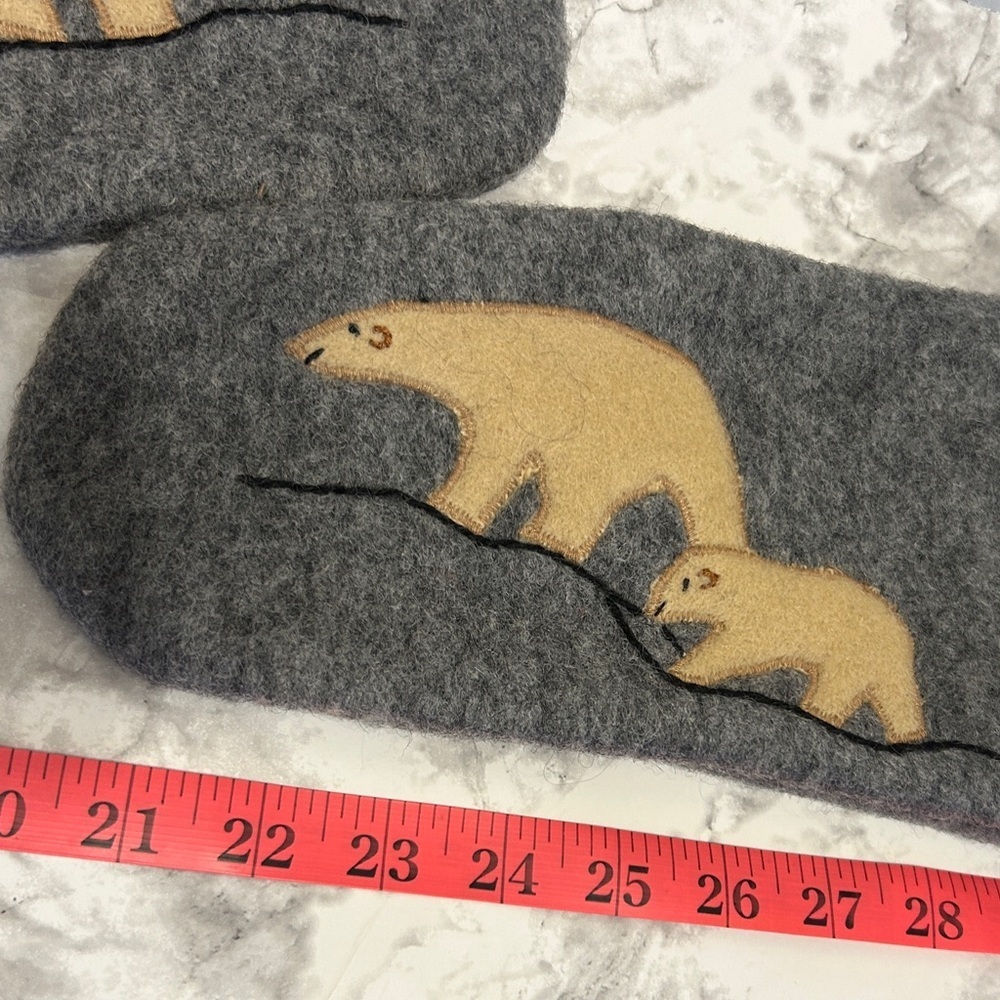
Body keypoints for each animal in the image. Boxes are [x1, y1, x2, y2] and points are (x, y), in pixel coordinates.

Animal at [285, 300, 749, 563]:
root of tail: (711, 423)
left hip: (620, 434)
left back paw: (544, 537)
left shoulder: (512, 395)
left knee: (580, 488)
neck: (471, 337)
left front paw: (447, 507)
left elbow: (495, 452)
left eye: (351, 327)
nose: (300, 345)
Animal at [644, 546, 927, 744]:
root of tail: (904, 640)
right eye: (672, 573)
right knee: (896, 697)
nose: (655, 607)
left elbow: (735, 650)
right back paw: (907, 735)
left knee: (838, 687)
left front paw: (682, 670)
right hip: (886, 669)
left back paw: (814, 711)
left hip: (855, 654)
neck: (749, 586)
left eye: (684, 583)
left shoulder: (762, 623)